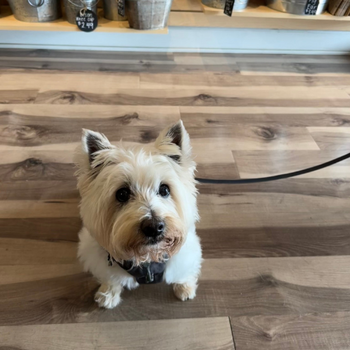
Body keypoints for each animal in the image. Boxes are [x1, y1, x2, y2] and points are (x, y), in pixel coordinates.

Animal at [76, 121, 202, 308]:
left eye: (164, 189)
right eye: (122, 194)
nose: (154, 227)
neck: (147, 258)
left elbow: (183, 272)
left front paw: (185, 288)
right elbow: (111, 278)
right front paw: (108, 294)